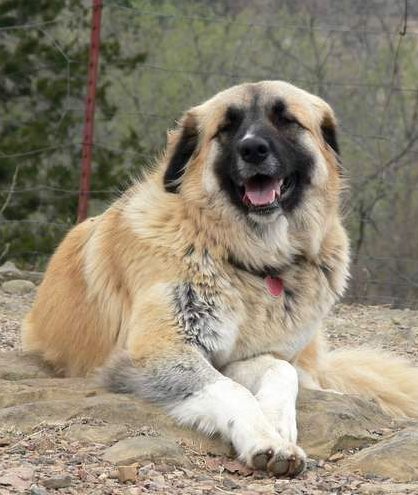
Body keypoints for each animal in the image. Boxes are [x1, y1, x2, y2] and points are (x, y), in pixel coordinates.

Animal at [22, 80, 418, 476]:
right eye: (227, 127)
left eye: (286, 119)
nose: (253, 149)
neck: (252, 261)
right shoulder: (160, 352)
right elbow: (231, 390)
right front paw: (267, 439)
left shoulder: (246, 355)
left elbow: (280, 370)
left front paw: (278, 423)